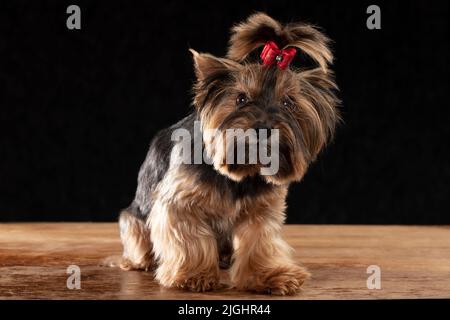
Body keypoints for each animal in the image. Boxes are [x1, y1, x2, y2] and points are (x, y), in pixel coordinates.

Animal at [118, 13, 340, 296]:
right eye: (241, 98)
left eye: (288, 102)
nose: (264, 127)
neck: (243, 171)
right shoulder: (178, 202)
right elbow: (189, 238)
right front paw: (193, 275)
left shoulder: (262, 209)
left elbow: (259, 242)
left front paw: (269, 276)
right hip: (133, 219)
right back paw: (140, 261)